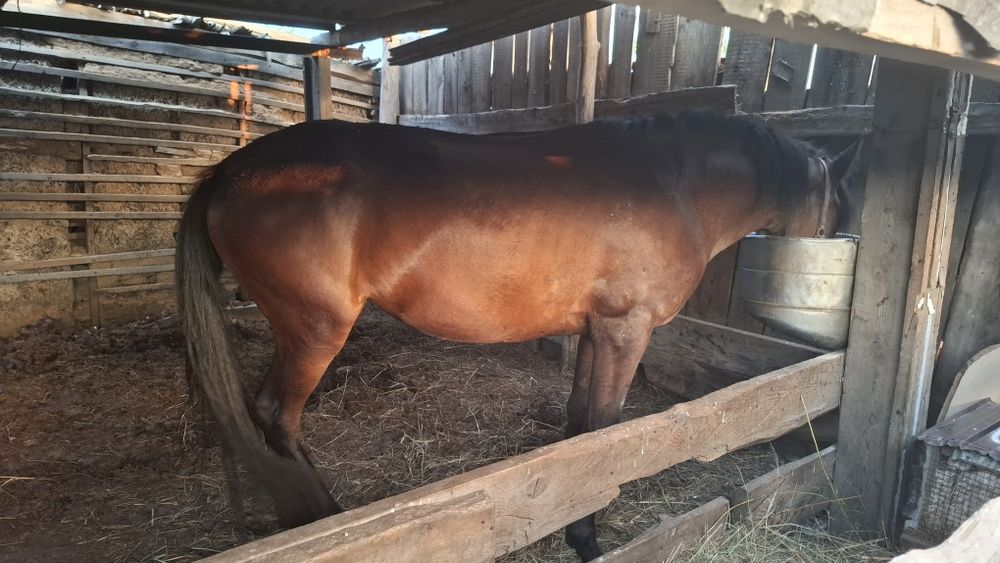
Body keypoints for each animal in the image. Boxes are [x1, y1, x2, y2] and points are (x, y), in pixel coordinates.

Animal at [175, 110, 859, 561]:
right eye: (837, 211)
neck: (675, 184)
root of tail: (233, 170)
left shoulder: (595, 330)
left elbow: (581, 426)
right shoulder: (626, 330)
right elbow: (606, 430)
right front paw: (586, 537)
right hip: (315, 329)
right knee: (277, 415)